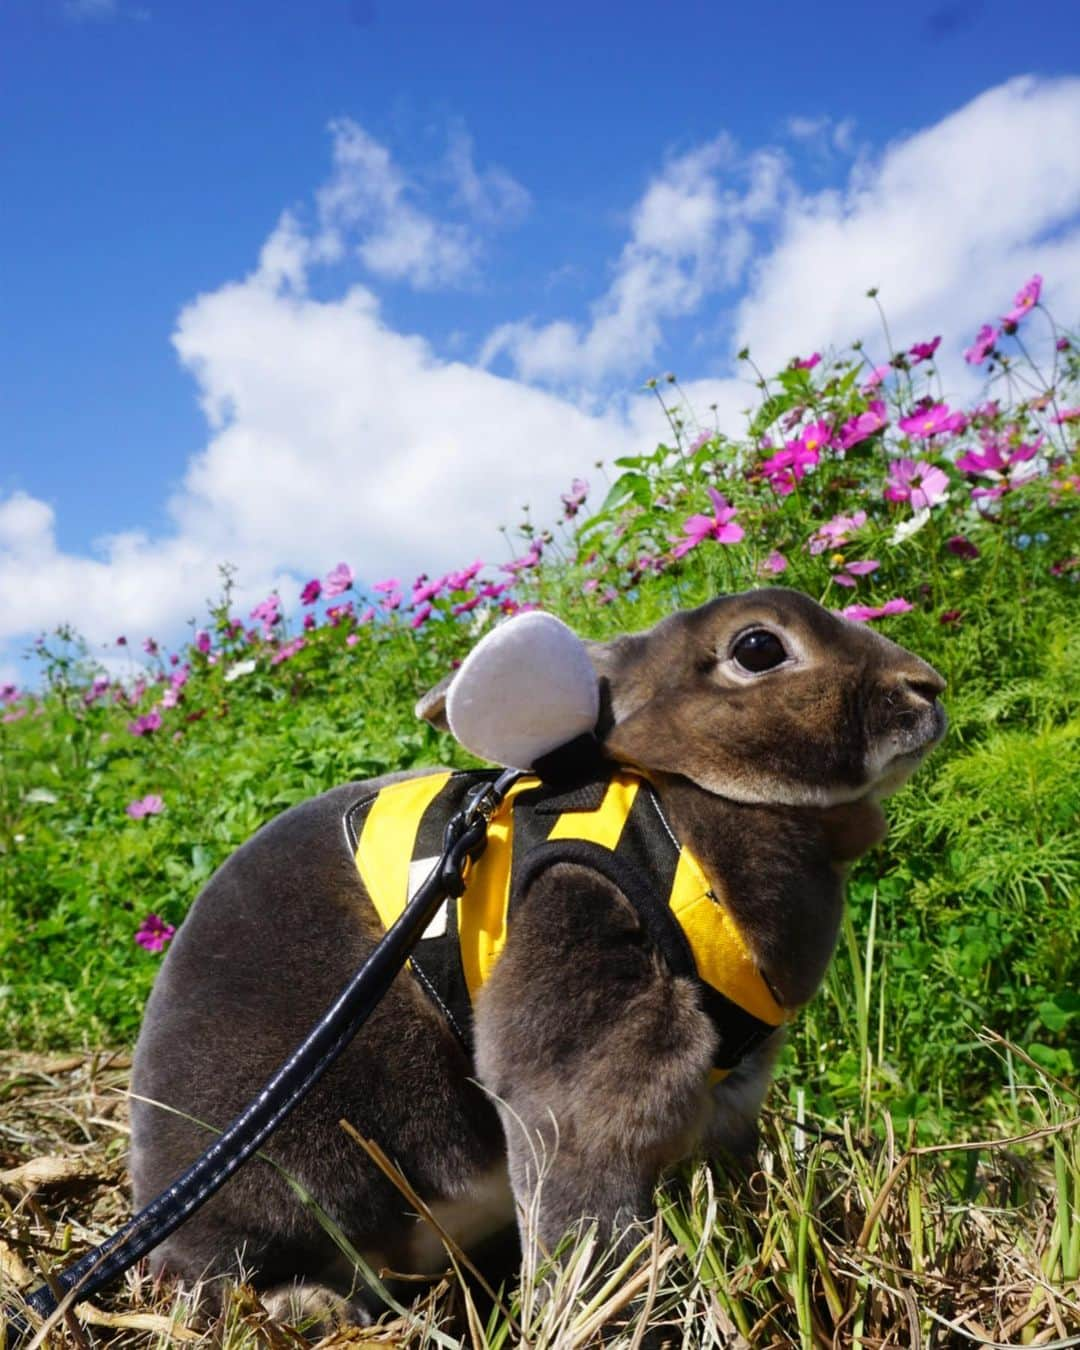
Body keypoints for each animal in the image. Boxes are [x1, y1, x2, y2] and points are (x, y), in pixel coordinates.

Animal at [128, 585, 945, 1323]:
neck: (683, 807)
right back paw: (307, 1307)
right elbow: (582, 1181)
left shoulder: (733, 1090)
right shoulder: (586, 973)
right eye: (758, 648)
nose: (927, 686)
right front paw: (589, 1306)